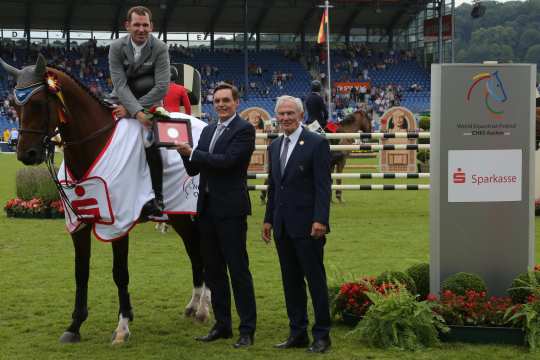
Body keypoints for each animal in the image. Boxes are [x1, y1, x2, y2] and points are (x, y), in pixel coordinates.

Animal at [0, 54, 209, 344]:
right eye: (13, 105)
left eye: (39, 103)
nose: (26, 154)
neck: (91, 145)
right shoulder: (79, 223)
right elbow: (81, 272)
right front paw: (75, 325)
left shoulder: (119, 223)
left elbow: (119, 273)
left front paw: (122, 327)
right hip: (179, 216)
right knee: (194, 251)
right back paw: (194, 304)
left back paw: (203, 308)